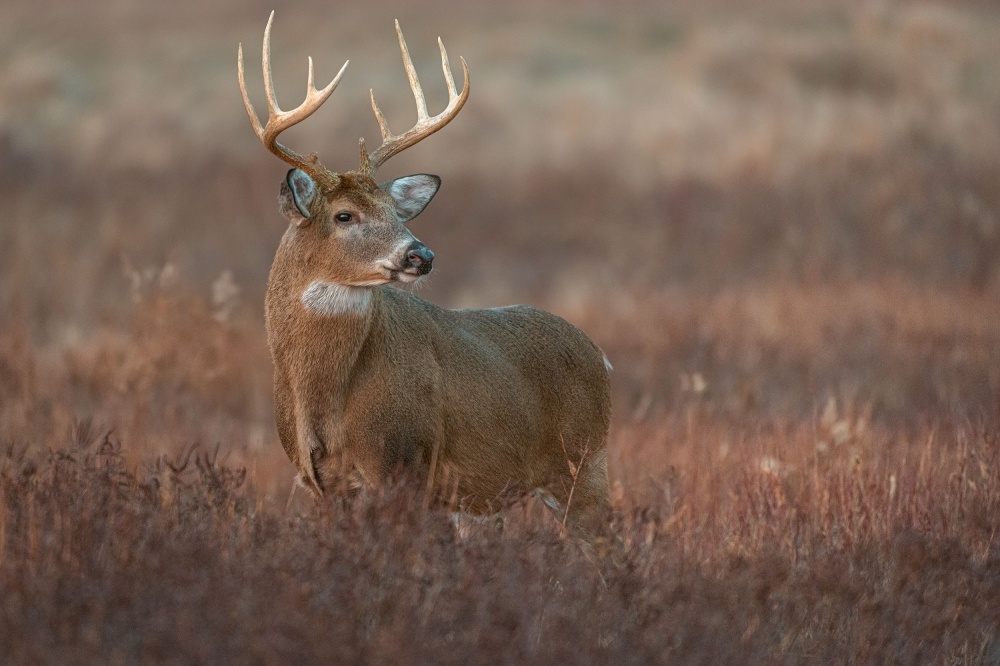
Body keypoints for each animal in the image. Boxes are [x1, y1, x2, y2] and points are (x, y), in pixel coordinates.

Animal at [238, 13, 612, 536]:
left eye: (397, 211)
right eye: (344, 215)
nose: (422, 255)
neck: (324, 398)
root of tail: (600, 356)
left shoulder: (403, 460)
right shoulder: (318, 481)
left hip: (585, 462)